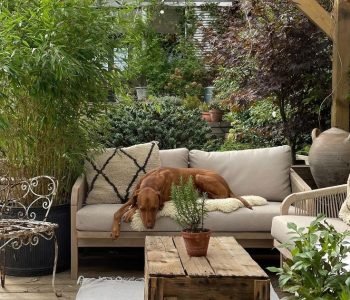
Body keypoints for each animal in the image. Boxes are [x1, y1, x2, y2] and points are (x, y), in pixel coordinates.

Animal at [112, 168, 252, 238]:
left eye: (155, 208)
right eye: (142, 209)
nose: (149, 227)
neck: (152, 180)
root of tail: (227, 185)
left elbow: (130, 207)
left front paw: (129, 212)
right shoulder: (133, 196)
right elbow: (118, 211)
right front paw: (115, 230)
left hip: (200, 177)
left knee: (222, 196)